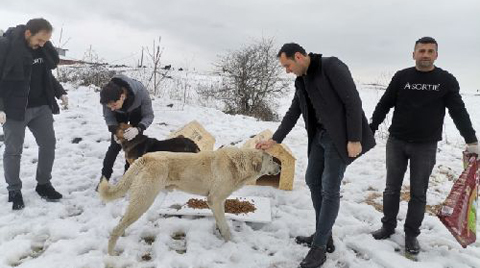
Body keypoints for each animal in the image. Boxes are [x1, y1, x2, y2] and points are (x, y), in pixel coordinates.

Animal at [97, 147, 280, 255]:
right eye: (271, 160)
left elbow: (220, 222)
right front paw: (231, 242)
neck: (238, 164)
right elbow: (225, 226)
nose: (279, 168)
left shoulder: (216, 203)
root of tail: (146, 157)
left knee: (122, 220)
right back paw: (112, 254)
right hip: (144, 200)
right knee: (118, 226)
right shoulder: (215, 200)